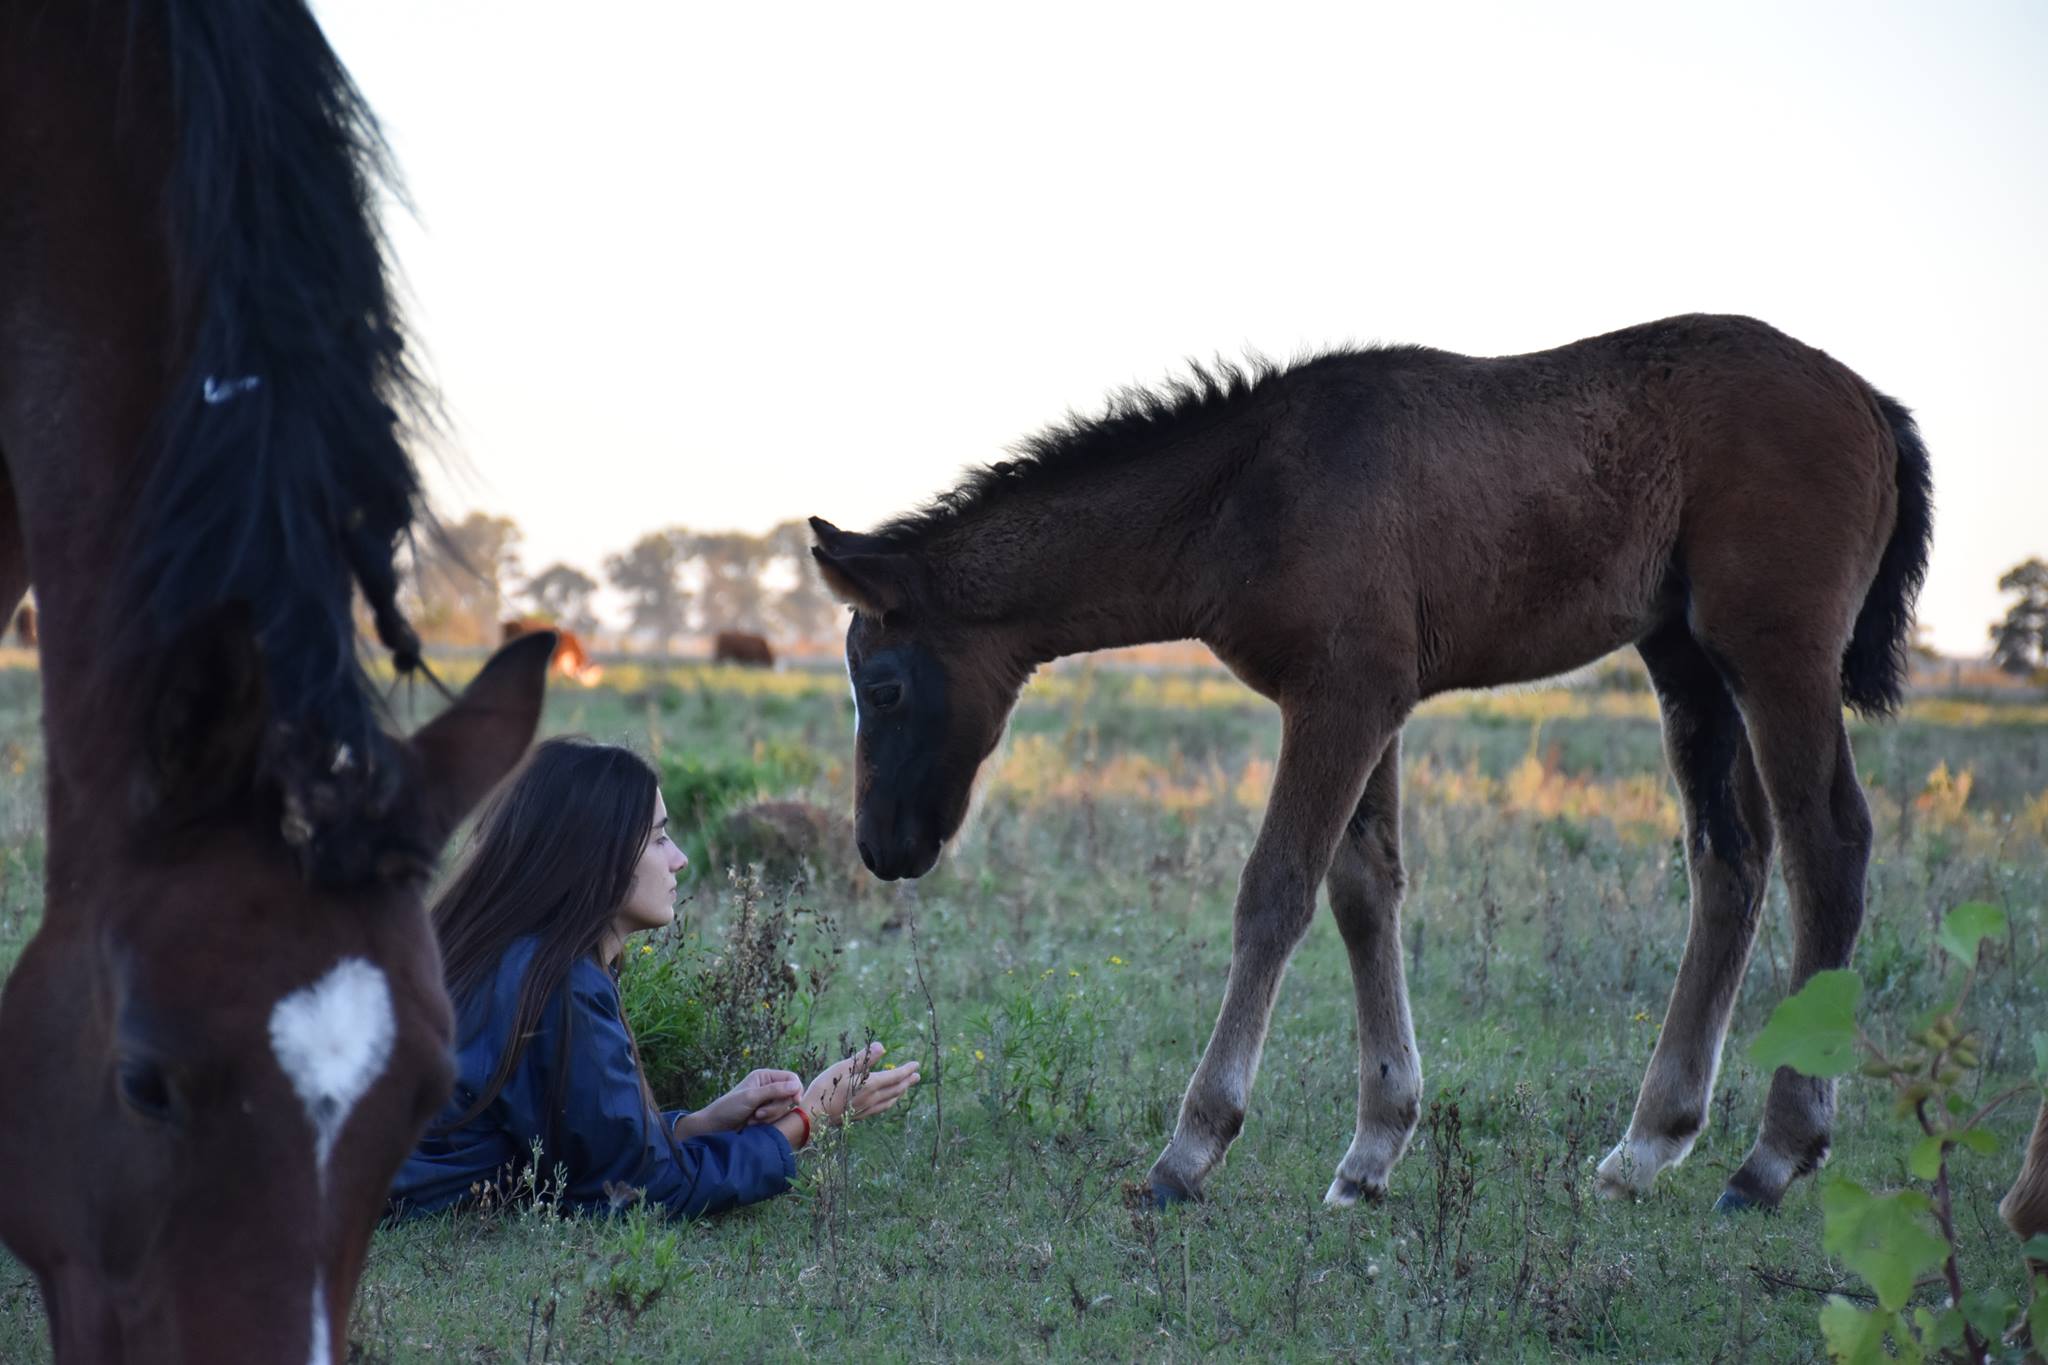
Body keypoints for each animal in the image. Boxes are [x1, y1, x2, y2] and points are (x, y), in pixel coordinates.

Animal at [806, 317, 1925, 1219]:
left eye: (885, 686)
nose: (881, 845)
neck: (1247, 491)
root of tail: (1871, 403)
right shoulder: (1370, 703)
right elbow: (1363, 889)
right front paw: (1374, 1147)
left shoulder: (1339, 698)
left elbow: (1275, 893)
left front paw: (1189, 1150)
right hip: (1682, 657)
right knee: (1728, 861)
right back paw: (1647, 1145)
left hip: (1774, 654)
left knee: (1828, 845)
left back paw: (1771, 1157)